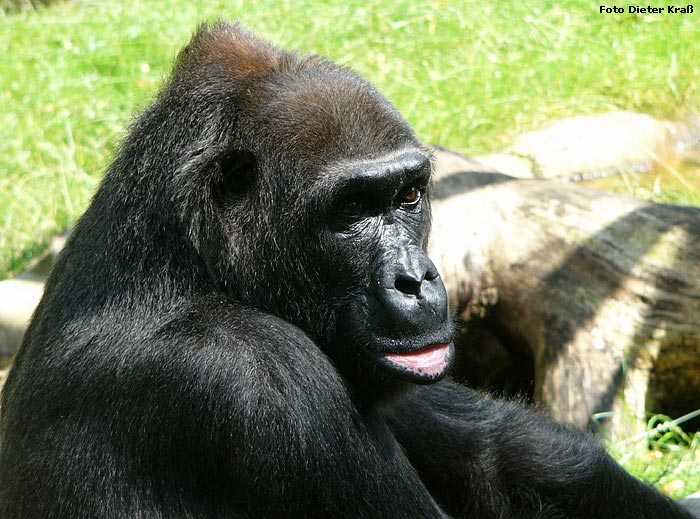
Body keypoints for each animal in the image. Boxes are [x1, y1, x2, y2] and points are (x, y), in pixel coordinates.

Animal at [0, 21, 692, 519]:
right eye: (352, 211)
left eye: (408, 196)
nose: (416, 280)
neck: (189, 261)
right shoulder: (260, 376)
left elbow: (504, 455)